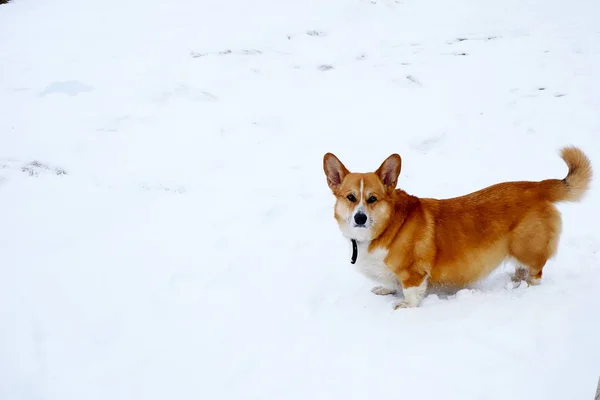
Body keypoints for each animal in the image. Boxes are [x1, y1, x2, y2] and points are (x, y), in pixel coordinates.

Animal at [324, 147, 592, 310]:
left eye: (372, 199)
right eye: (350, 197)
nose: (360, 218)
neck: (387, 226)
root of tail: (537, 186)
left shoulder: (413, 273)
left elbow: (411, 292)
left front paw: (406, 307)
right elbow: (390, 283)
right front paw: (385, 290)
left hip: (526, 247)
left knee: (535, 272)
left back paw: (525, 287)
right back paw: (516, 279)